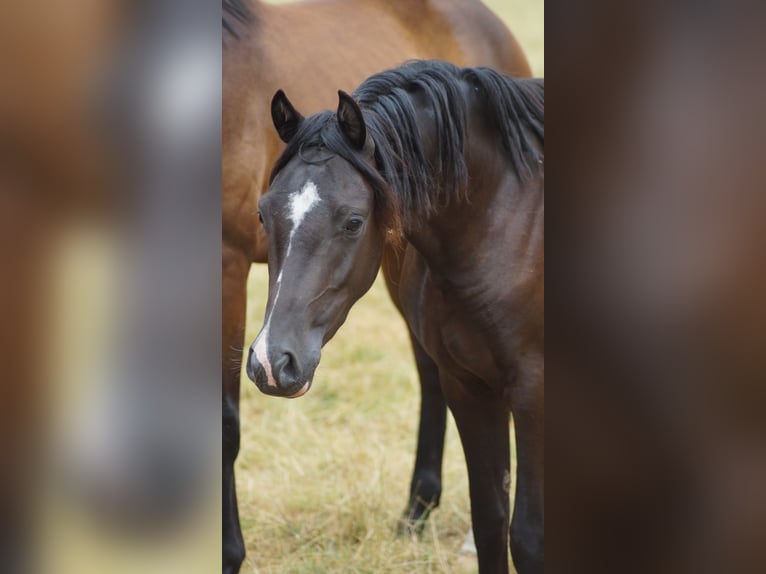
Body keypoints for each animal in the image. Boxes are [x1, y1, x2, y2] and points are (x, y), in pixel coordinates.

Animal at [223, 1, 533, 571]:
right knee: (432, 371)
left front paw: (228, 552)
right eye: (263, 214)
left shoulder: (226, 261)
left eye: (352, 221)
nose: (273, 364)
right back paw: (417, 509)